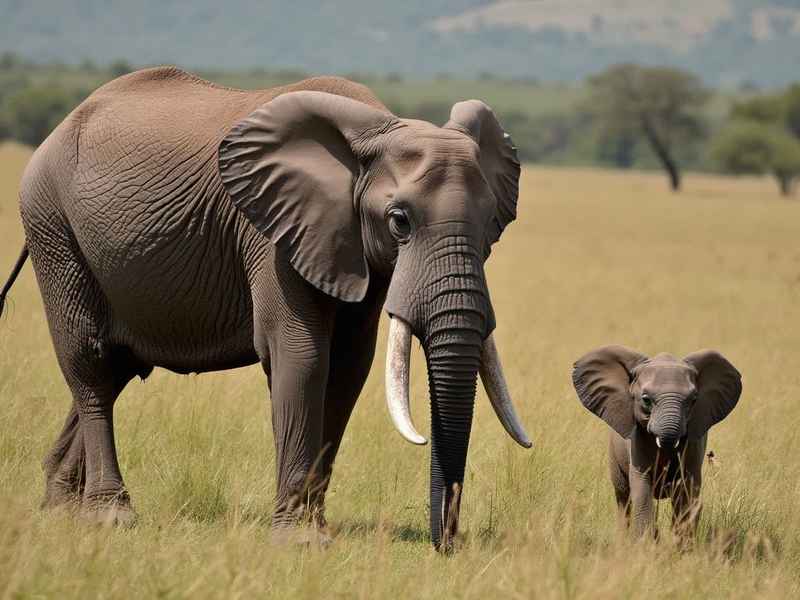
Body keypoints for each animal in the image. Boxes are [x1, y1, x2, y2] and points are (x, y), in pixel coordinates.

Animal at [0, 67, 532, 550]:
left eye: (491, 223)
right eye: (399, 220)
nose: (447, 543)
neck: (375, 129)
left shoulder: (351, 248)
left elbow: (348, 367)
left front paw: (314, 528)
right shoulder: (271, 234)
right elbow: (303, 356)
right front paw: (300, 541)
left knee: (118, 368)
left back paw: (61, 508)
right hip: (52, 226)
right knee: (90, 363)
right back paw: (109, 516)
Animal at [571, 345, 742, 540]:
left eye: (693, 400)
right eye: (646, 400)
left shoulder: (693, 442)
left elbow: (687, 489)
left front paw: (680, 545)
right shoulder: (636, 439)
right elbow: (641, 485)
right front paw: (647, 543)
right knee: (623, 496)